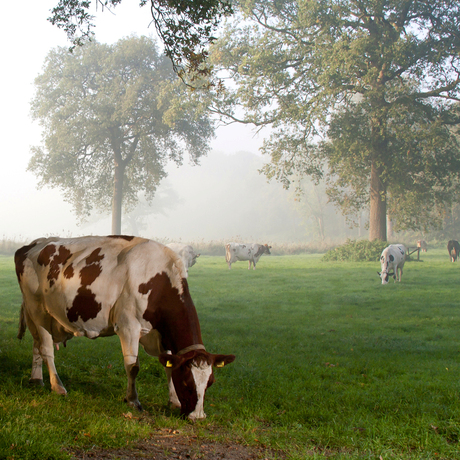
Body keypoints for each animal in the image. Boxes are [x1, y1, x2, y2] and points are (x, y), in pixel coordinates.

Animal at [14, 237, 235, 420]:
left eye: (210, 382)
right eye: (188, 382)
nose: (197, 417)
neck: (160, 279)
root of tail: (35, 244)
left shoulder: (161, 334)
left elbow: (168, 366)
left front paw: (173, 401)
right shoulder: (128, 327)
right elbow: (133, 367)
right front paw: (133, 400)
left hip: (37, 315)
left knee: (36, 346)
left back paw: (36, 379)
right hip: (38, 310)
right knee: (46, 349)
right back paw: (57, 386)